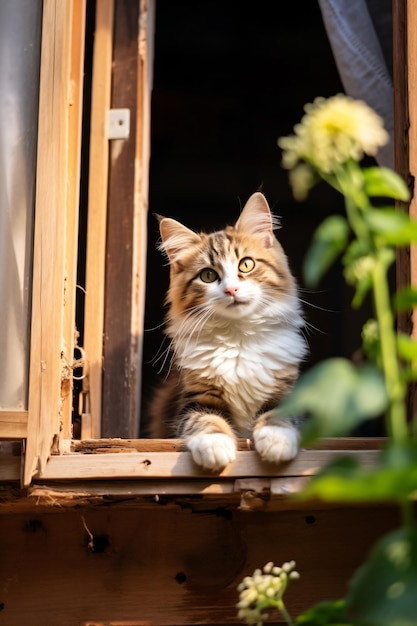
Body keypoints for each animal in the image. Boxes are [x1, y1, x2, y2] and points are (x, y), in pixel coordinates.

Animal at [148, 190, 308, 468]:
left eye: (246, 265)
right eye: (208, 276)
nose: (231, 290)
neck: (238, 338)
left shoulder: (286, 390)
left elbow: (280, 415)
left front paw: (276, 440)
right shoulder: (194, 399)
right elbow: (205, 421)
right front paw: (214, 447)